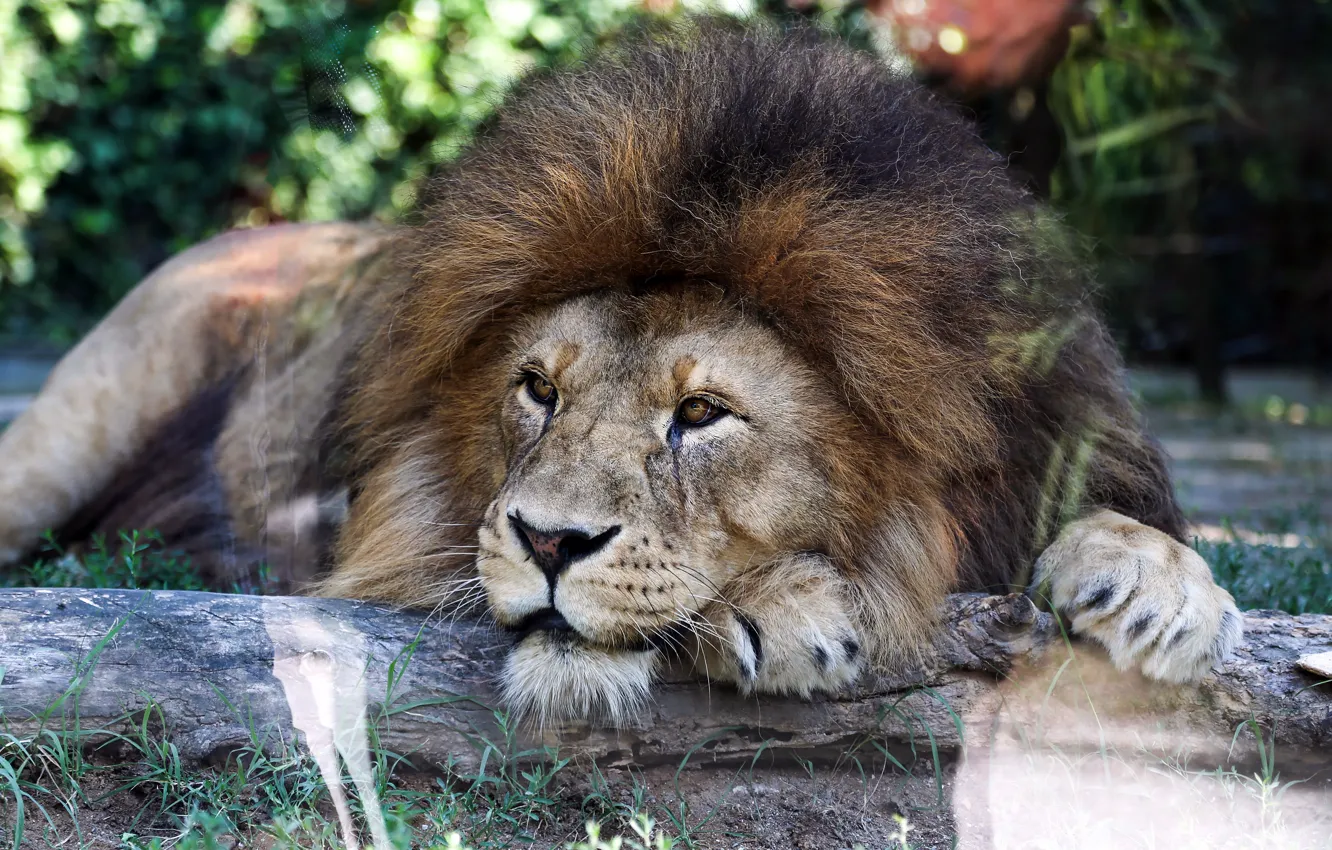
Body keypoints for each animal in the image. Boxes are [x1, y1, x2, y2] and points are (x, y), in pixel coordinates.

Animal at [2, 16, 1246, 724]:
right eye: (537, 389)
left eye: (701, 412)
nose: (550, 544)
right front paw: (777, 605)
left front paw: (1160, 588)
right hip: (70, 429)